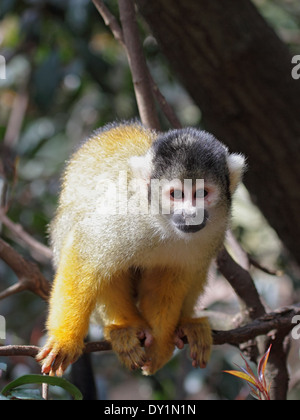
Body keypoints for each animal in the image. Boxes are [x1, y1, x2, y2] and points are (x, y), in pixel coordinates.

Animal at [36, 120, 245, 376]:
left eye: (202, 193)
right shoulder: (125, 210)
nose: (190, 214)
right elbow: (85, 249)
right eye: (176, 194)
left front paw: (159, 346)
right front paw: (65, 341)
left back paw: (187, 324)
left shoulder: (213, 231)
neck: (162, 223)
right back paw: (124, 328)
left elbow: (169, 278)